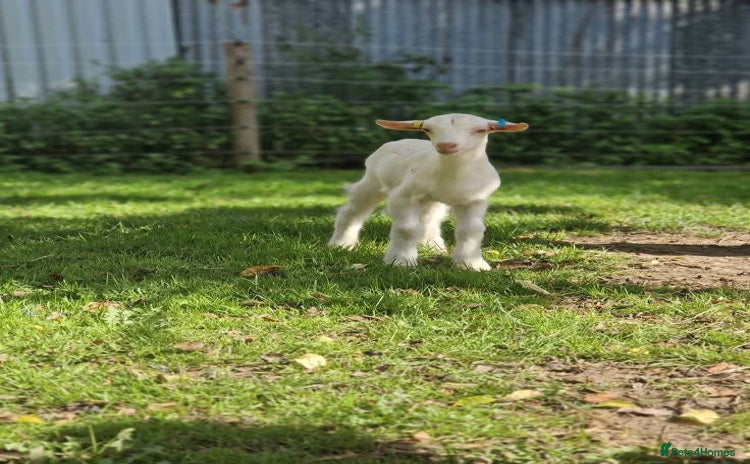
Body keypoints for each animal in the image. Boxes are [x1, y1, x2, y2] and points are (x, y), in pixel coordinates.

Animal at [328, 113, 529, 270]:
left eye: (479, 130)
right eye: (427, 129)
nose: (446, 145)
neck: (453, 174)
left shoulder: (474, 200)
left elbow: (471, 230)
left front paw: (471, 264)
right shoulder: (404, 196)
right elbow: (407, 229)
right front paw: (401, 260)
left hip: (431, 200)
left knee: (429, 218)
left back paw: (433, 246)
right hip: (373, 181)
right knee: (354, 210)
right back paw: (341, 243)